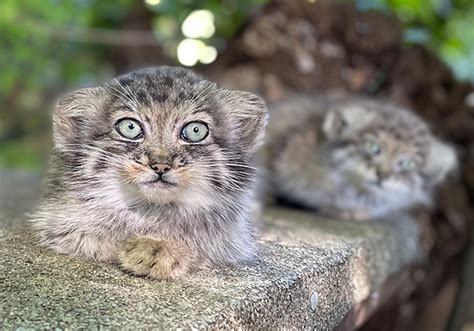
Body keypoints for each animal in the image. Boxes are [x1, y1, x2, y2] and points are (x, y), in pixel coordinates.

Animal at [30, 67, 266, 280]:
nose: (160, 166)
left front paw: (161, 248)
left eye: (195, 131)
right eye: (130, 127)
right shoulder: (57, 222)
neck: (152, 211)